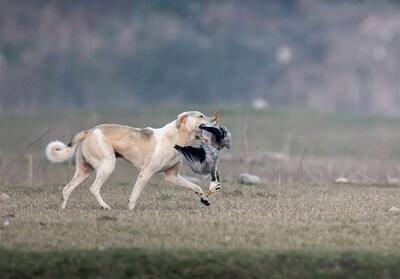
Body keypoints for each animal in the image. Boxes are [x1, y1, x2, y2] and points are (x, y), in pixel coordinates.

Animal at [45, 111, 216, 210]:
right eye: (201, 116)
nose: (215, 118)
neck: (176, 138)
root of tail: (90, 131)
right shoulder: (145, 173)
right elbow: (134, 195)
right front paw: (130, 210)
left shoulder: (172, 176)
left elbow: (196, 187)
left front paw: (205, 200)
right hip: (108, 165)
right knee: (93, 188)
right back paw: (105, 206)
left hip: (85, 170)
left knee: (67, 189)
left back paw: (62, 210)